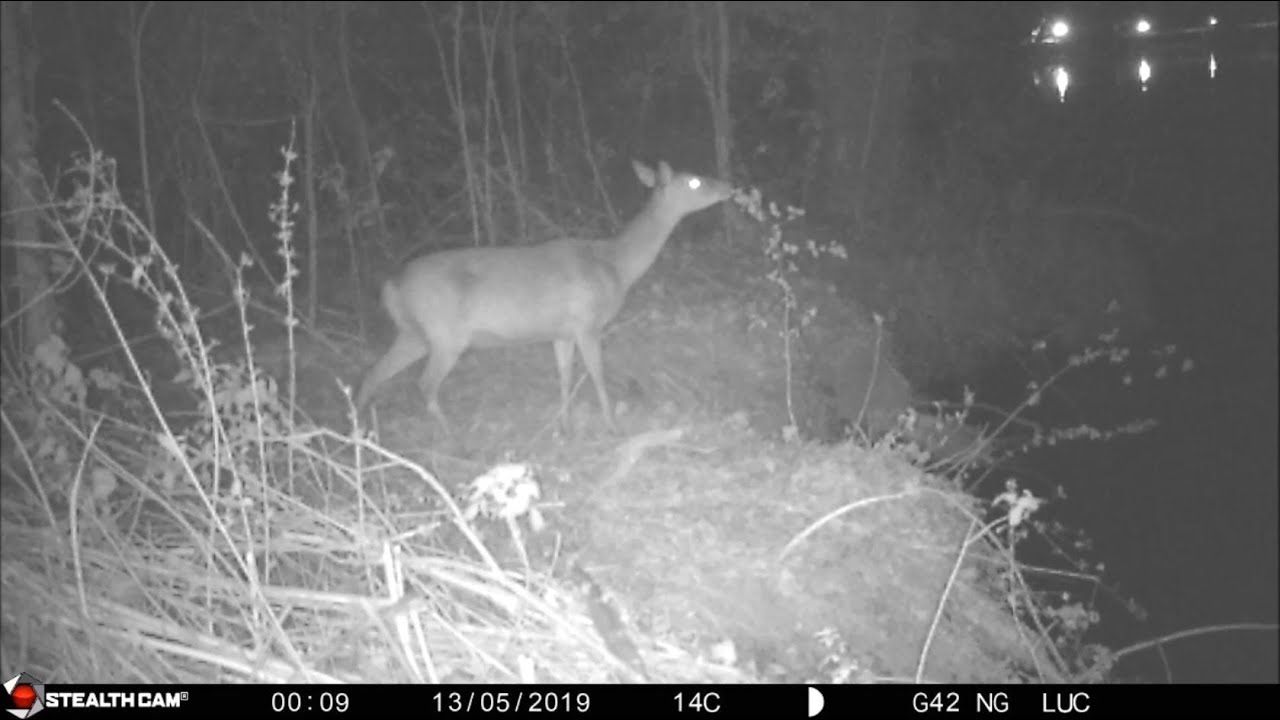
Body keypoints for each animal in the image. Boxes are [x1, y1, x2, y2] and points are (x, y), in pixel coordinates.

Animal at [354, 159, 734, 435]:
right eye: (695, 182)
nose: (729, 187)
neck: (615, 265)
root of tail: (391, 286)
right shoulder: (587, 322)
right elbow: (596, 374)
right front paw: (612, 426)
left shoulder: (561, 331)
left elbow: (564, 375)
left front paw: (563, 426)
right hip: (445, 334)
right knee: (425, 384)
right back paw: (450, 434)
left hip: (415, 334)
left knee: (372, 375)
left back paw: (357, 435)